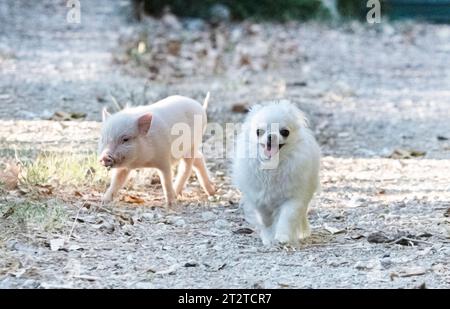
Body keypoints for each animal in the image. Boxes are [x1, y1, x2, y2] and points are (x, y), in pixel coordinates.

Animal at [232, 101, 320, 245]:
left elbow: (287, 217)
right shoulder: (259, 199)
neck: (273, 165)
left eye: (284, 132)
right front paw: (268, 237)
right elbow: (265, 219)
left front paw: (282, 237)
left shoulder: (293, 199)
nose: (271, 136)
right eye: (258, 132)